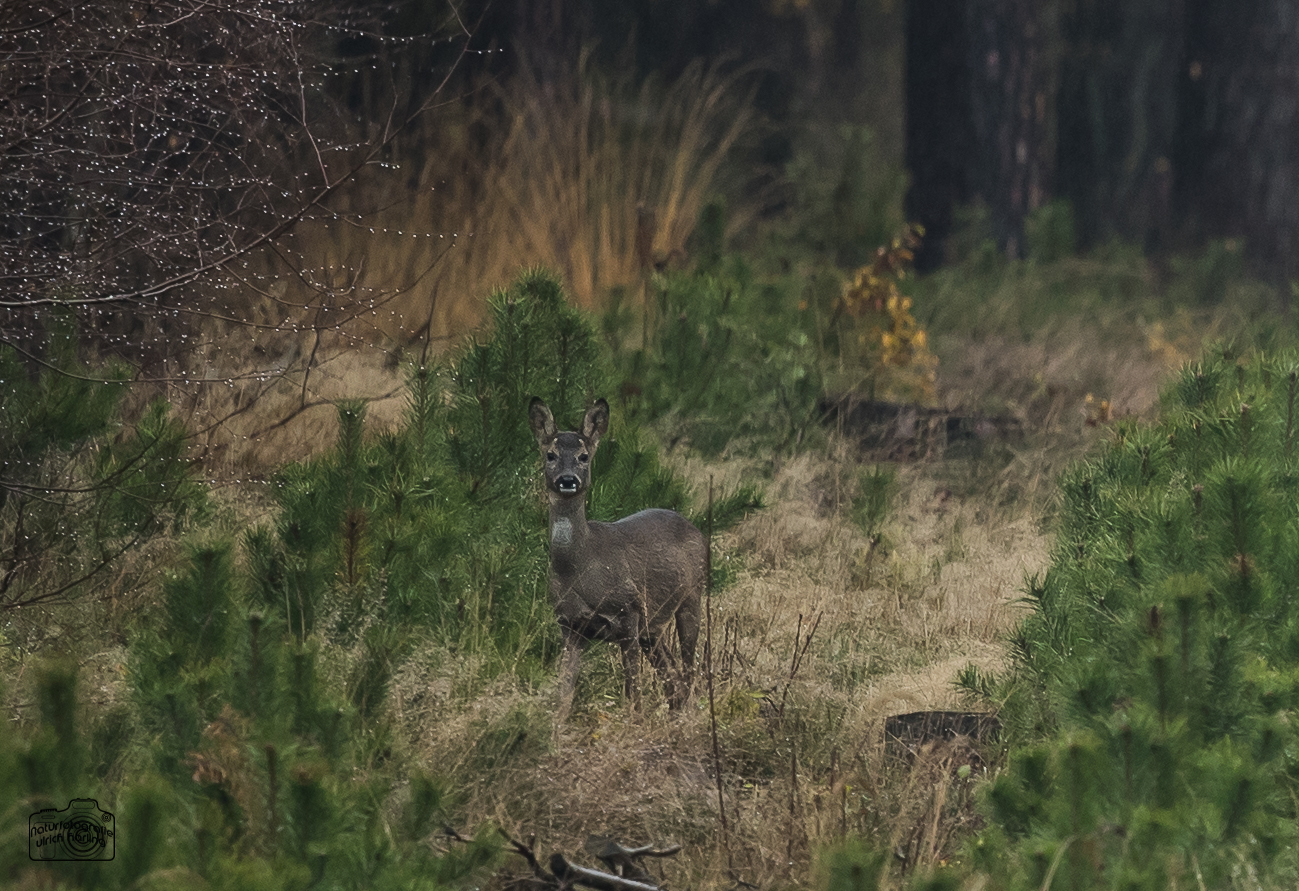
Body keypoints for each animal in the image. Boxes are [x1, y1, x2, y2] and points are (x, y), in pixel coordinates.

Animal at [527, 397, 706, 727]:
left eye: (584, 456)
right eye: (550, 455)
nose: (567, 480)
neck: (580, 568)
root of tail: (695, 528)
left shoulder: (628, 613)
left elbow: (633, 693)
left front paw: (634, 724)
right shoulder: (569, 624)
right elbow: (564, 695)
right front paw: (555, 728)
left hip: (692, 596)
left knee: (688, 669)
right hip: (653, 625)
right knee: (672, 675)